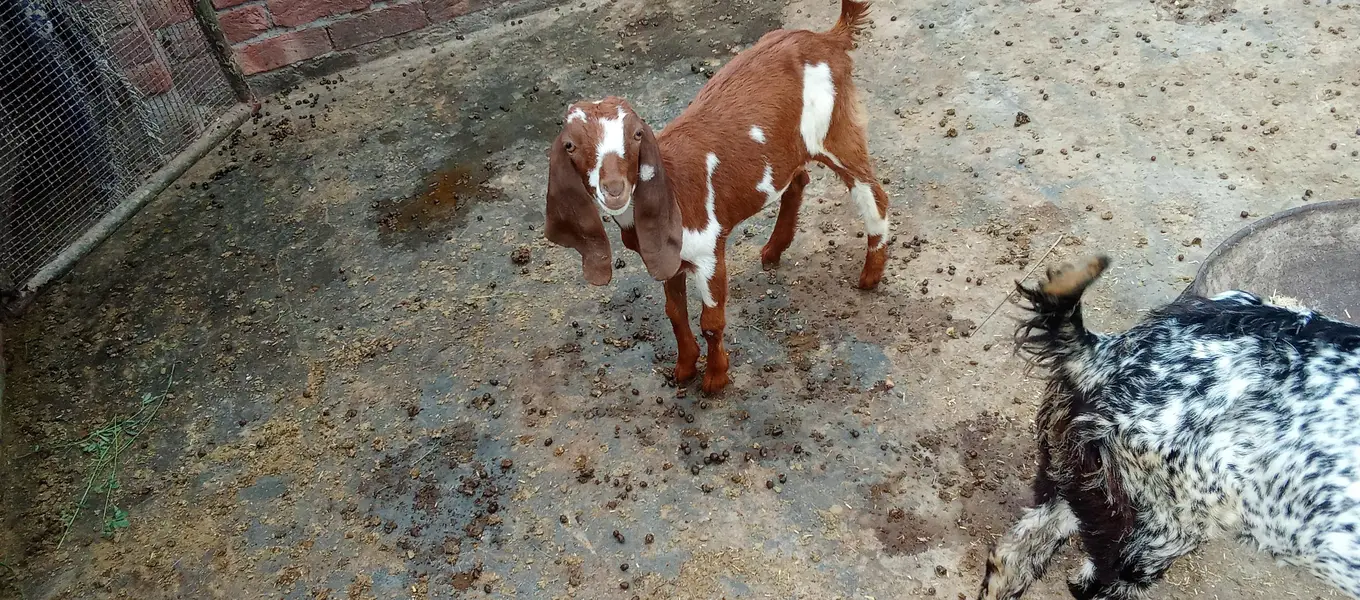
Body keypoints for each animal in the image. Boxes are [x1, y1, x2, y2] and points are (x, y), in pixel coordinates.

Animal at [544, 0, 891, 394]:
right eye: (570, 146)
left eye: (636, 136)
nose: (614, 187)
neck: (672, 184)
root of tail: (828, 39)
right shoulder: (667, 256)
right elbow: (675, 314)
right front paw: (683, 369)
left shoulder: (709, 250)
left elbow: (710, 320)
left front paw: (715, 379)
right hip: (789, 150)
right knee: (798, 179)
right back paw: (774, 250)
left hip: (836, 129)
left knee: (873, 192)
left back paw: (870, 275)